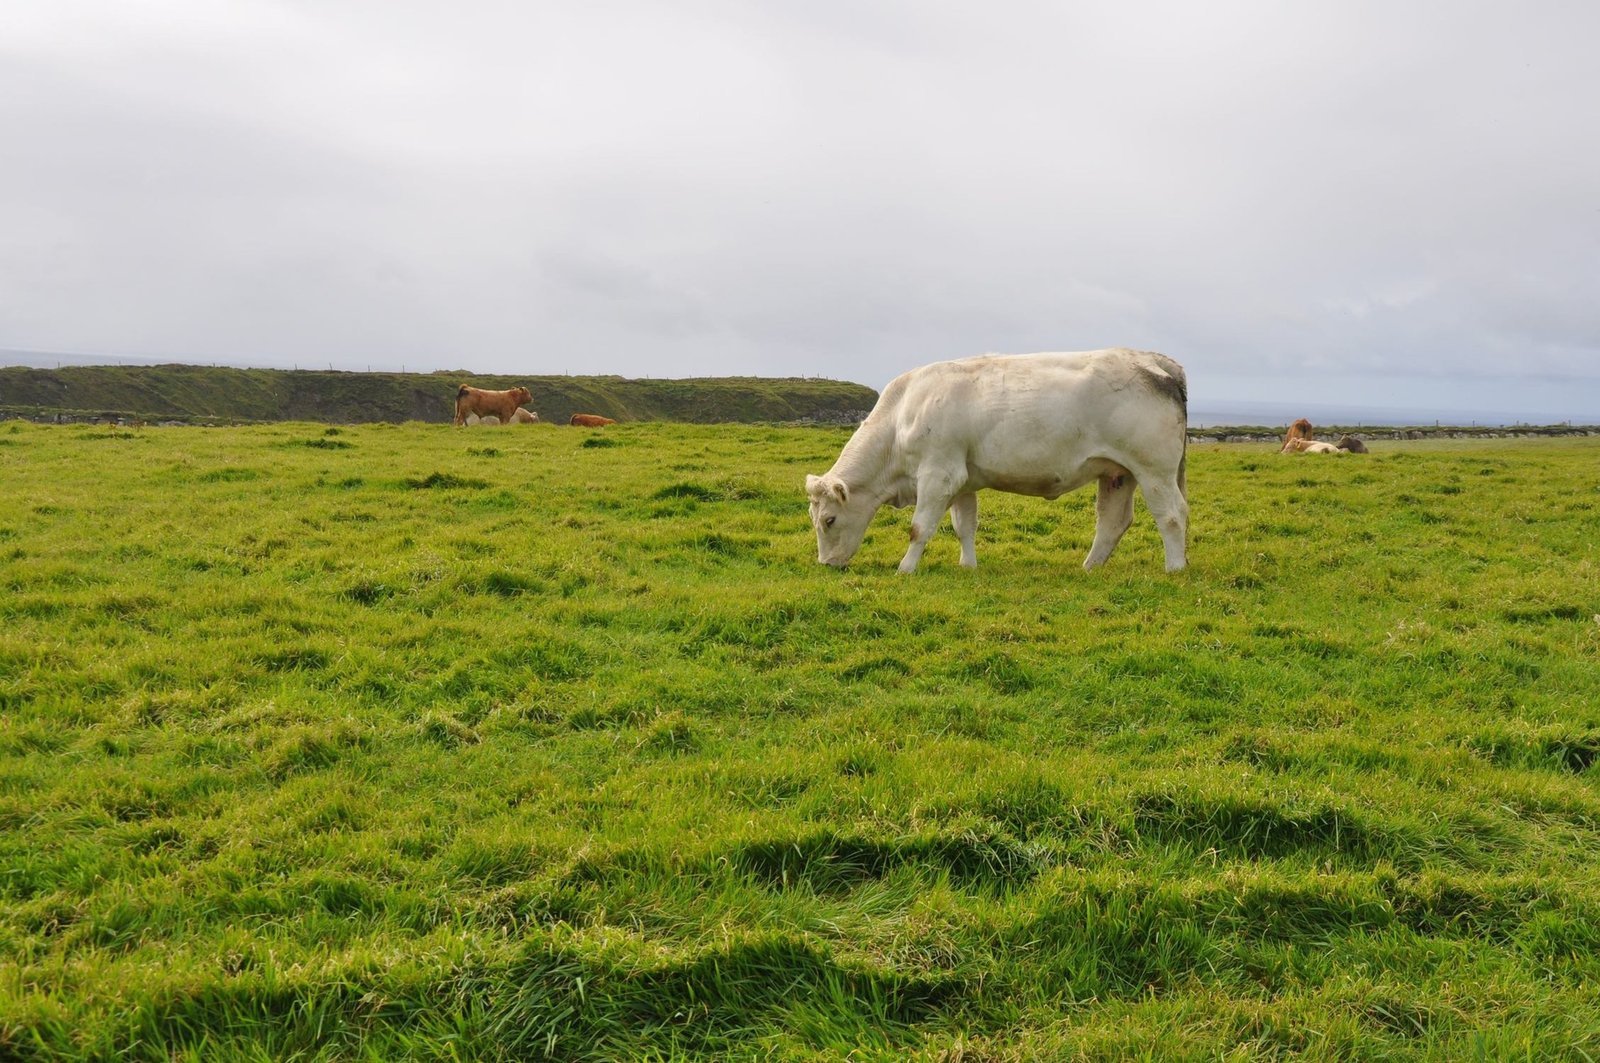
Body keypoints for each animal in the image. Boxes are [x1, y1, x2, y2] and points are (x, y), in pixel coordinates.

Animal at [805, 348, 1189, 574]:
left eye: (828, 520)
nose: (826, 564)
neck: (901, 417)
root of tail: (1153, 359)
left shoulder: (938, 474)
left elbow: (920, 527)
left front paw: (906, 569)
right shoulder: (961, 480)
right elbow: (964, 526)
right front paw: (968, 566)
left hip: (1155, 471)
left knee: (1172, 516)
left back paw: (1174, 568)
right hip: (1118, 473)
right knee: (1112, 522)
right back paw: (1089, 567)